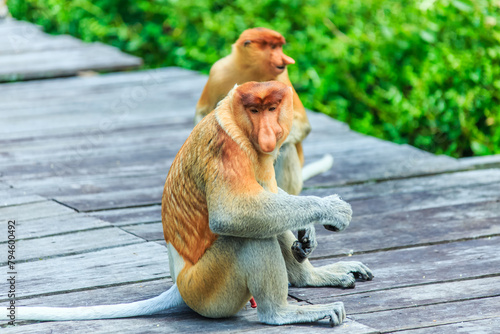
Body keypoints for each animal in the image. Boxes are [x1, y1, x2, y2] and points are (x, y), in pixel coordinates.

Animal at [14, 81, 372, 326]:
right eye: (254, 110)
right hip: (207, 290)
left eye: (272, 108)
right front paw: (332, 210)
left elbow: (268, 193)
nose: (269, 132)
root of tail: (179, 283)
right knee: (248, 237)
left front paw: (307, 230)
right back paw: (281, 313)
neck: (234, 120)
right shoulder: (227, 150)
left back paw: (312, 277)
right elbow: (231, 214)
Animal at [194, 27, 332, 262]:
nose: (287, 60)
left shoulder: (282, 81)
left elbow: (301, 124)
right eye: (273, 47)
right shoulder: (218, 72)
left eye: (280, 46)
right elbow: (203, 114)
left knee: (286, 148)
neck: (251, 71)